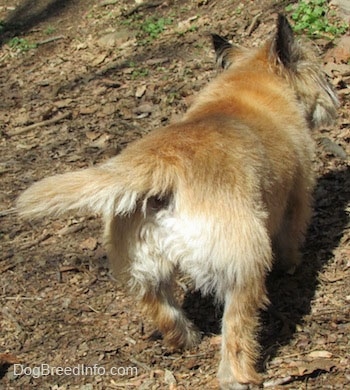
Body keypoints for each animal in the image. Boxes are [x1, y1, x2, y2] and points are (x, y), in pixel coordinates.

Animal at [17, 14, 338, 390]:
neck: (248, 84)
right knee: (236, 327)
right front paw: (293, 265)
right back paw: (239, 375)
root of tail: (162, 164)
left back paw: (185, 338)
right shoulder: (297, 195)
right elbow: (291, 238)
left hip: (143, 268)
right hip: (243, 263)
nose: (334, 90)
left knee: (161, 307)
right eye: (320, 71)